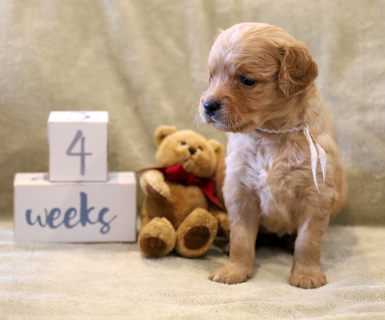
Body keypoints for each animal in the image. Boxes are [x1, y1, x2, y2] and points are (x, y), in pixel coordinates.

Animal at [200, 21, 346, 288]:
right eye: (212, 75)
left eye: (247, 80)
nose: (208, 105)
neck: (271, 134)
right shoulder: (239, 190)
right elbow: (241, 238)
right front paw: (234, 270)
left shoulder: (317, 194)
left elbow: (308, 240)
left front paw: (306, 274)